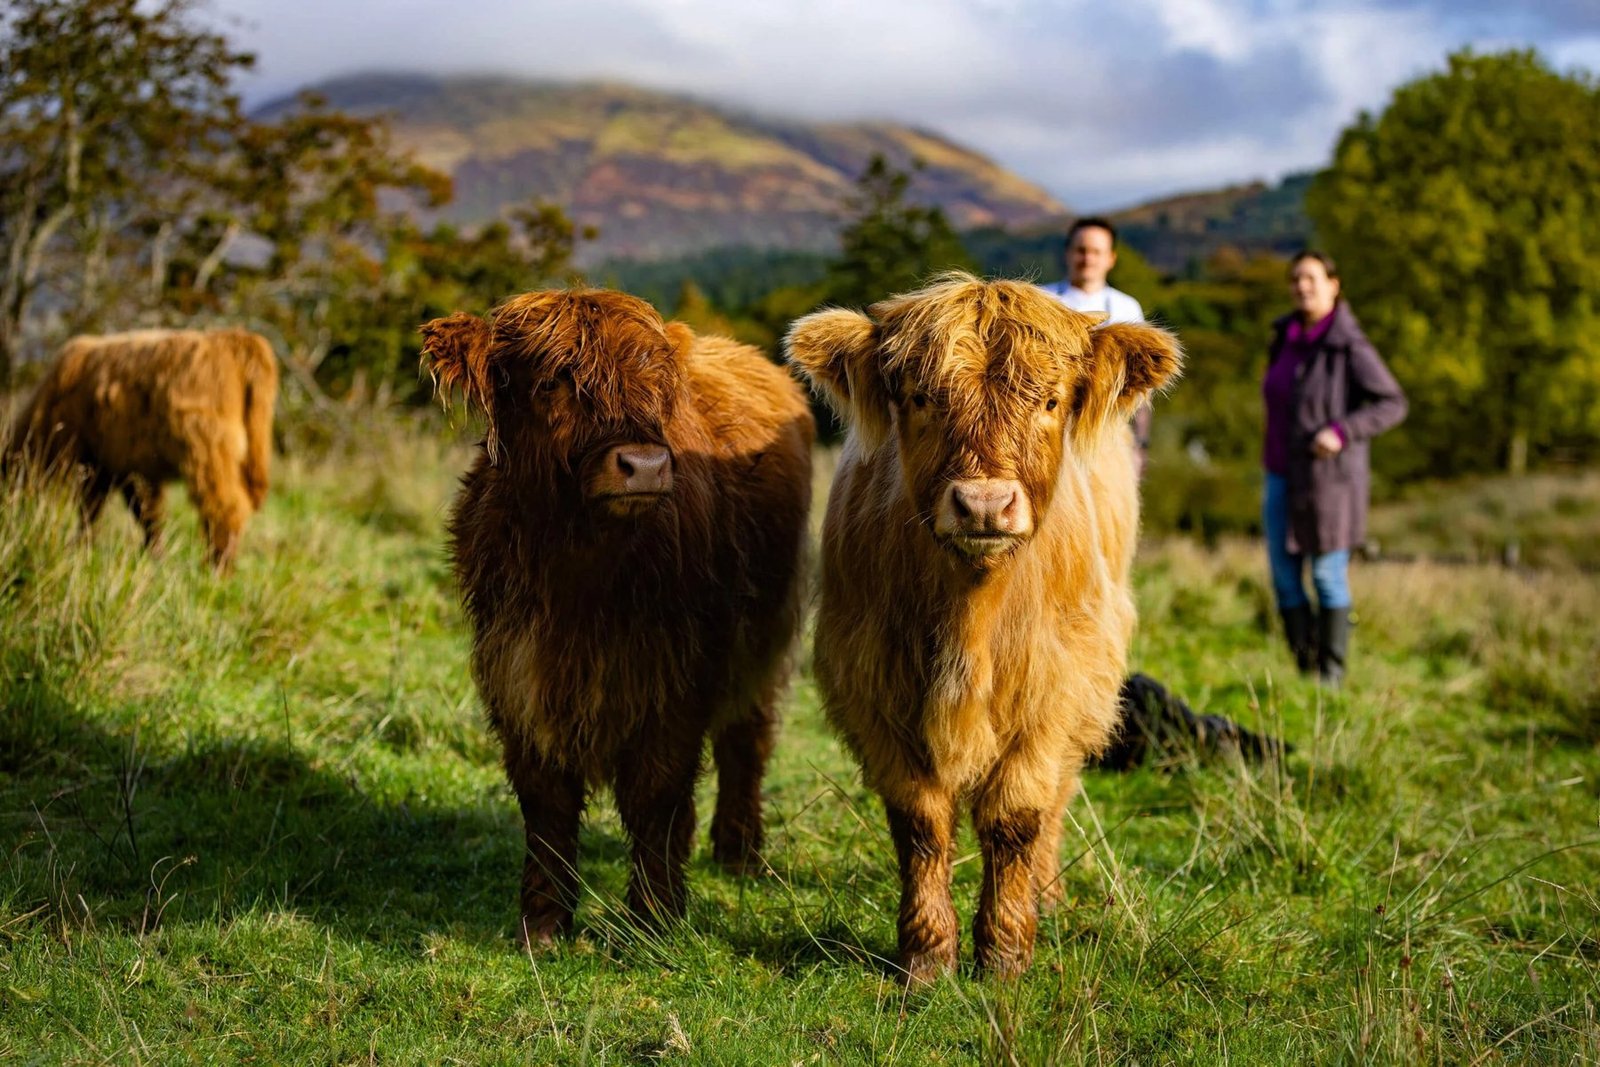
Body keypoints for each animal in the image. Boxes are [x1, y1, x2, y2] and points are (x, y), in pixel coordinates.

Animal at [4, 328, 278, 570]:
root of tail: (233, 339)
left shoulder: (96, 459)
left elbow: (95, 508)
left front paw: (80, 547)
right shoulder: (131, 466)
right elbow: (146, 513)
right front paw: (153, 555)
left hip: (208, 451)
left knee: (225, 506)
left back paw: (217, 568)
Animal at [421, 289, 813, 944]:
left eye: (657, 388)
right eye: (552, 381)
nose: (646, 465)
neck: (579, 576)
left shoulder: (676, 676)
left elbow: (656, 794)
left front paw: (655, 919)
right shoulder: (517, 674)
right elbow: (547, 802)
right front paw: (543, 924)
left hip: (766, 635)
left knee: (746, 740)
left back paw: (738, 854)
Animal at [785, 273, 1182, 983]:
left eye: (1051, 400)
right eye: (921, 397)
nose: (984, 504)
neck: (972, 613)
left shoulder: (1056, 688)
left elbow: (1016, 817)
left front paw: (1004, 951)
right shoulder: (873, 683)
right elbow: (920, 821)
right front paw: (927, 955)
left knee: (1057, 796)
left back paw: (1046, 895)